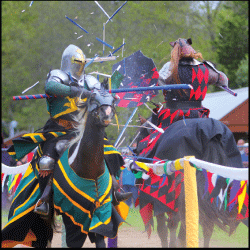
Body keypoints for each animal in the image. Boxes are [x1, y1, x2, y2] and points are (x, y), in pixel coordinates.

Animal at [1, 82, 123, 248]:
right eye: (93, 98)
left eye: (112, 100)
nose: (107, 114)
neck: (88, 169)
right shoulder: (69, 212)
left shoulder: (99, 211)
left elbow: (100, 238)